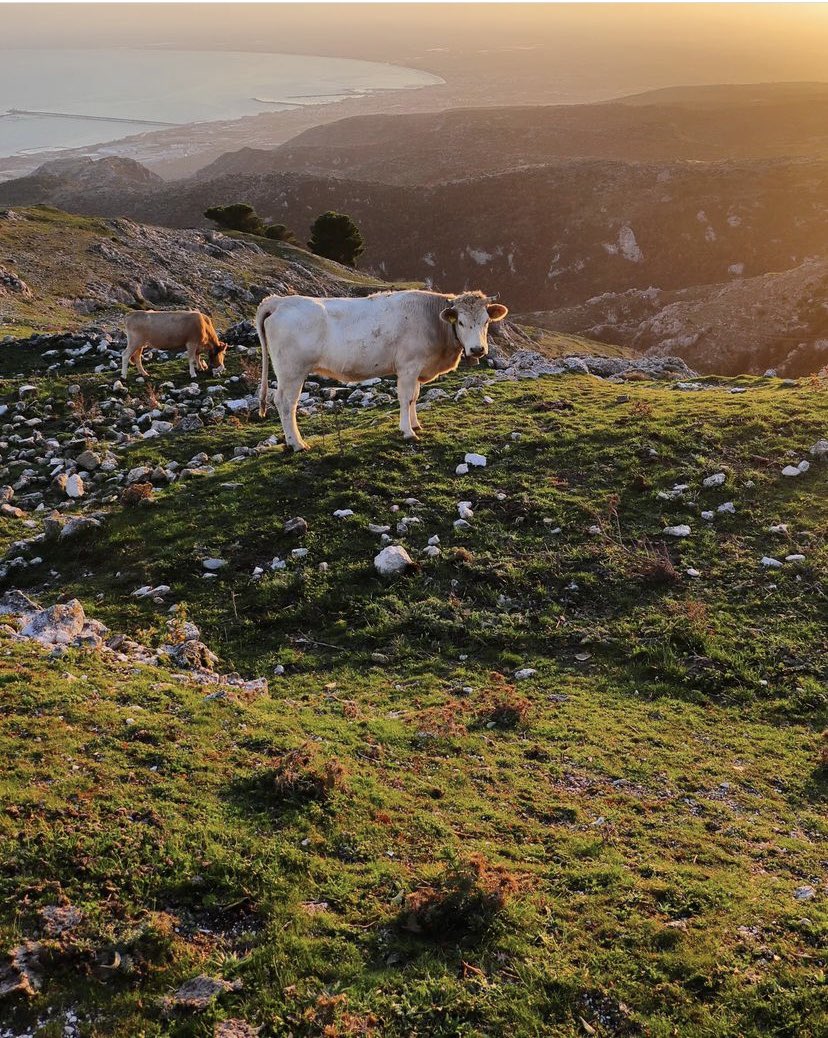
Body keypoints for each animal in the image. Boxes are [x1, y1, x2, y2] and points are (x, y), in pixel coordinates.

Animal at [256, 288, 508, 450]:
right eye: (461, 322)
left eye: (486, 321)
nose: (477, 349)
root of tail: (278, 301)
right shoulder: (408, 366)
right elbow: (406, 397)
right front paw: (408, 432)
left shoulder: (416, 368)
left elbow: (415, 397)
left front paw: (415, 424)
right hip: (292, 371)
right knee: (286, 403)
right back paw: (297, 443)